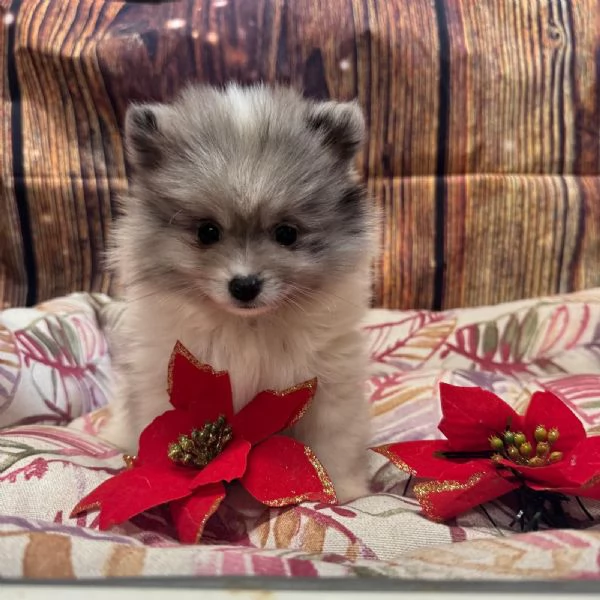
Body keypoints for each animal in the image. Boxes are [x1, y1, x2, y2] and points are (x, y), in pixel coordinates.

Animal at [100, 81, 378, 502]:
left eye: (286, 233)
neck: (249, 326)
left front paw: (341, 492)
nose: (244, 285)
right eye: (207, 232)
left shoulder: (329, 385)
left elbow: (333, 441)